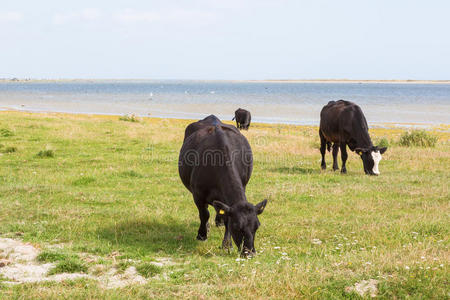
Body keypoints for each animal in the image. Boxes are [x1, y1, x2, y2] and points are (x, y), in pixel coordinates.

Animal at [178, 114, 266, 255]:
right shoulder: (198, 194)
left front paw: (226, 244)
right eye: (237, 227)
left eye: (257, 226)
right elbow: (204, 214)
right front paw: (202, 235)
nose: (250, 253)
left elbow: (226, 218)